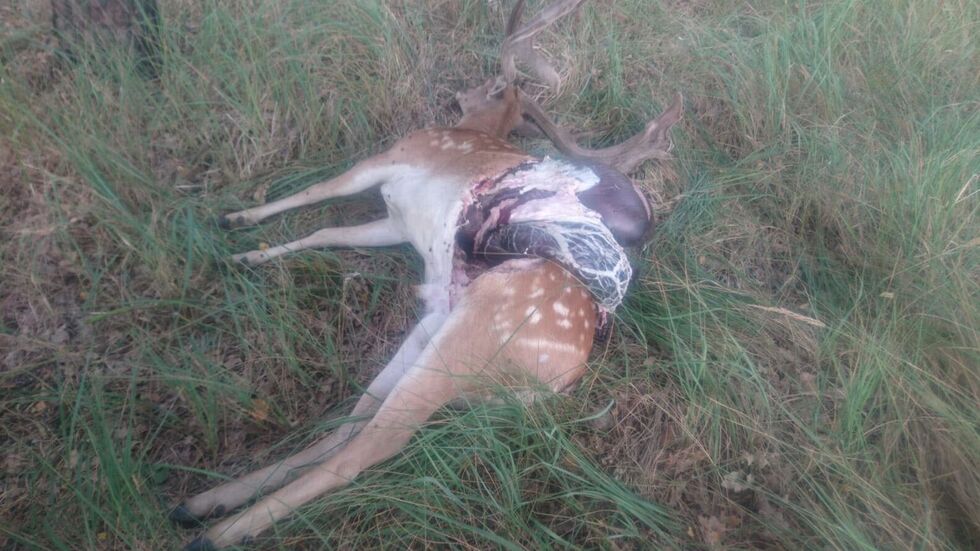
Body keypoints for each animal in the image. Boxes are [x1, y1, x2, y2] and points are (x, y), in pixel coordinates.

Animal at [171, 1, 682, 549]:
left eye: (487, 84)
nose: (460, 92)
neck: (473, 130)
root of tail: (558, 383)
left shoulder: (394, 156)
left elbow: (317, 192)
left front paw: (236, 220)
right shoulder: (395, 220)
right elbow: (328, 231)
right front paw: (249, 256)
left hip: (472, 339)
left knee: (371, 445)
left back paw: (213, 531)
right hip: (433, 328)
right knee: (354, 421)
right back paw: (202, 502)